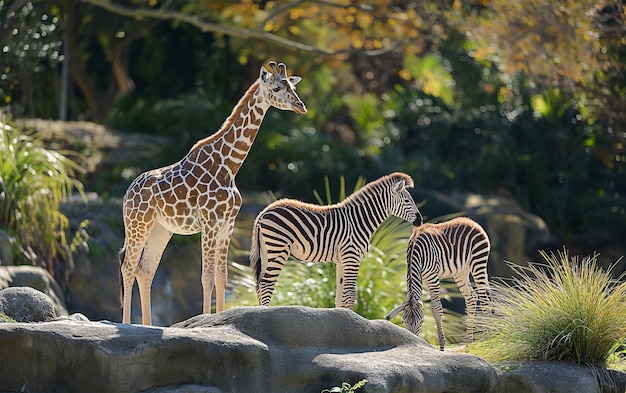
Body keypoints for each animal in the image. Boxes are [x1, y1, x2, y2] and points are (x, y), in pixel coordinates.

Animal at [247, 172, 420, 310]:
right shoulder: (352, 257)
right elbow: (350, 296)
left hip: (267, 251)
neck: (358, 221)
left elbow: (340, 298)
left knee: (259, 284)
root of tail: (263, 212)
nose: (420, 220)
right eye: (407, 201)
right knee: (266, 284)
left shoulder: (342, 260)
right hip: (278, 248)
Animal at [382, 217, 490, 350]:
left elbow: (436, 308)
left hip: (478, 261)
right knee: (471, 298)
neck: (414, 251)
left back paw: (488, 338)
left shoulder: (432, 277)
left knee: (484, 299)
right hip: (461, 271)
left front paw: (442, 346)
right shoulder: (419, 277)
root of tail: (470, 221)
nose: (412, 339)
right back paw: (468, 340)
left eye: (421, 321)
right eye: (404, 322)